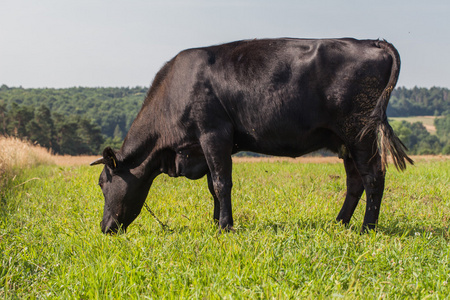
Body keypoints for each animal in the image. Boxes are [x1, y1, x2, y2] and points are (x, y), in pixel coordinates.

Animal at [91, 38, 414, 234]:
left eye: (103, 183)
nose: (105, 227)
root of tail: (370, 41)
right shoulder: (205, 145)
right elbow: (212, 185)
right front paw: (216, 221)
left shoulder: (213, 133)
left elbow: (221, 183)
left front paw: (225, 227)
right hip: (344, 139)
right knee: (355, 180)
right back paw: (339, 222)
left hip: (360, 132)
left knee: (374, 178)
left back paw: (366, 228)